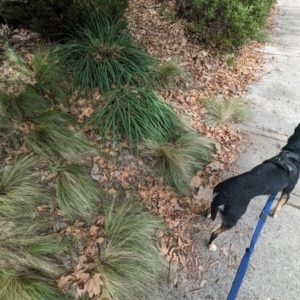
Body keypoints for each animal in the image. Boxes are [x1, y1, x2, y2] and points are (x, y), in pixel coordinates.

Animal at [207, 123, 300, 252]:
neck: (293, 154)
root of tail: (224, 194)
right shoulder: (287, 192)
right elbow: (281, 204)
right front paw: (274, 213)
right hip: (232, 219)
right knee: (214, 233)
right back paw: (210, 245)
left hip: (216, 201)